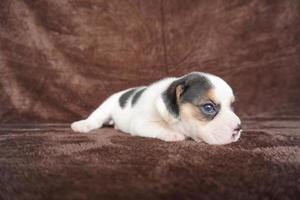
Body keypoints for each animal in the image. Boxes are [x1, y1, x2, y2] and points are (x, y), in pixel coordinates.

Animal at [71, 72, 243, 145]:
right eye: (208, 107)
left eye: (232, 106)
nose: (239, 128)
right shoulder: (141, 124)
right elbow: (158, 127)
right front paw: (172, 134)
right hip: (106, 106)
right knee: (95, 119)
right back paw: (82, 125)